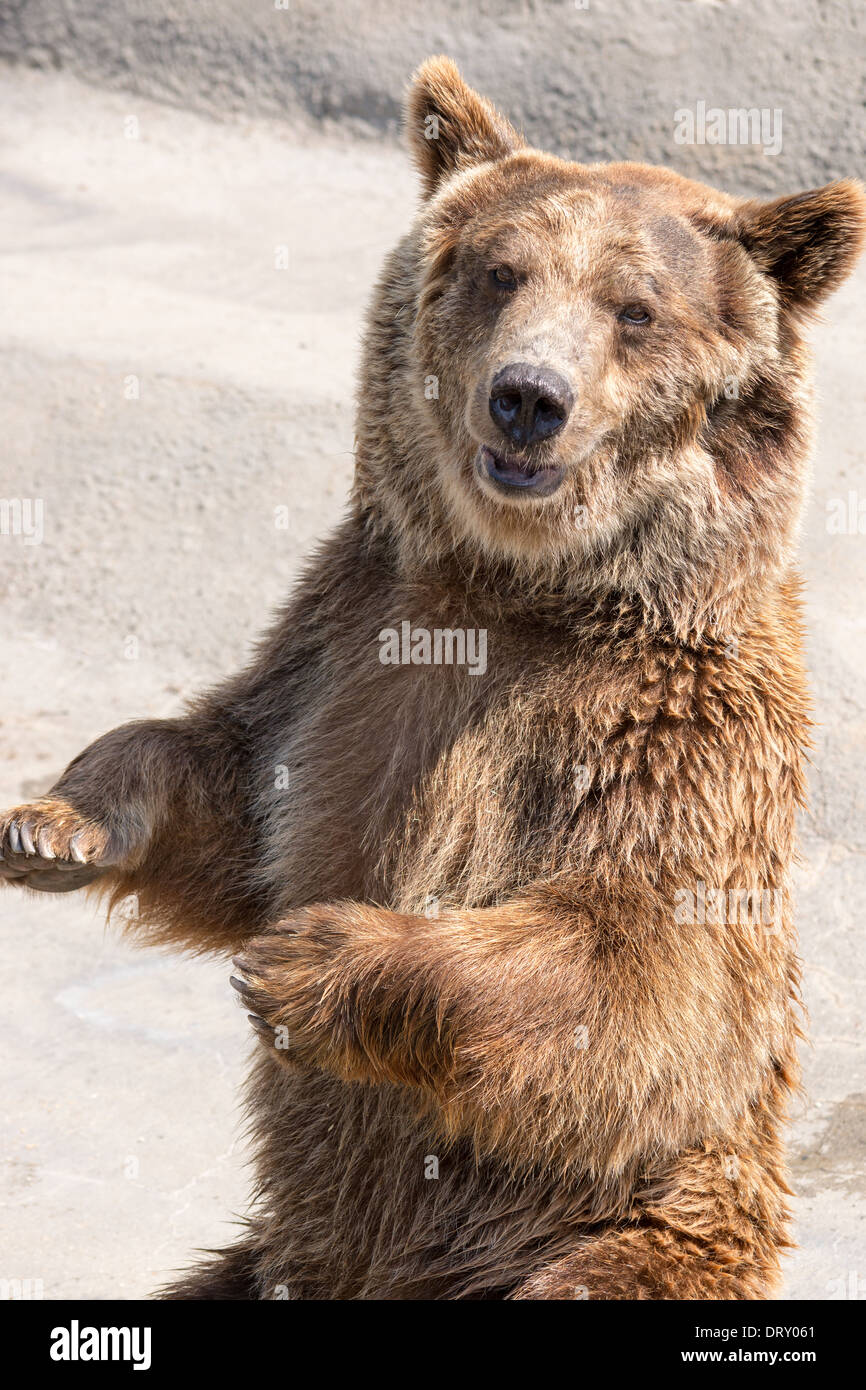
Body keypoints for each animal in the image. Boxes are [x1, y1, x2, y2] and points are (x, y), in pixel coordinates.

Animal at [1, 56, 866, 1289]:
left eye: (635, 309)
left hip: (630, 1229)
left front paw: (301, 961)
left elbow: (641, 971)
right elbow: (235, 791)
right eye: (501, 271)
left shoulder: (673, 732)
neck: (513, 592)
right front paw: (57, 820)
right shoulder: (341, 649)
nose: (528, 396)